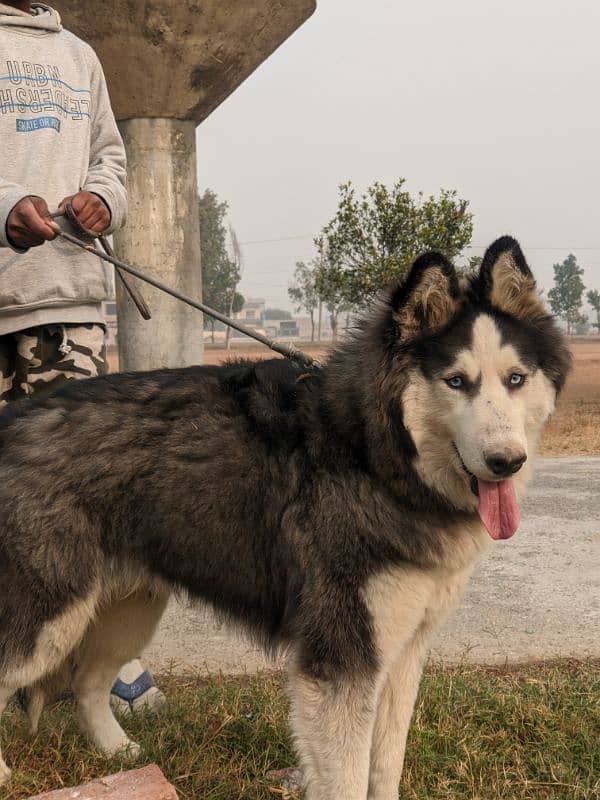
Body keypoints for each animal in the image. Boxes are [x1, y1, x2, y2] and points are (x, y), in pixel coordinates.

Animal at [0, 239, 568, 800]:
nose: (507, 461)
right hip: (48, 617)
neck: (371, 452)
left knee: (87, 684)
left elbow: (385, 766)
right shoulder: (341, 658)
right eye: (456, 381)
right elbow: (347, 779)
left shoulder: (402, 653)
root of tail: (12, 421)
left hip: (125, 610)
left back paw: (120, 754)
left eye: (515, 379)